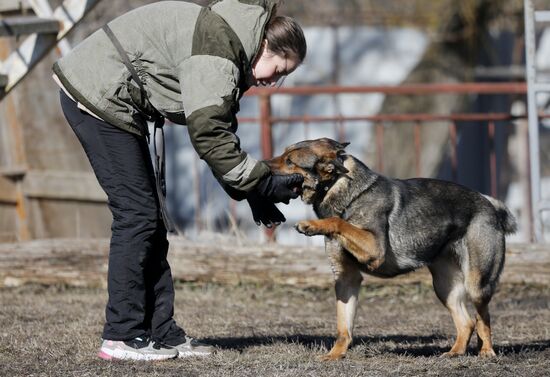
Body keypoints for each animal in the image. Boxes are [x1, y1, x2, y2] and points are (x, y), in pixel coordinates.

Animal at [268, 137, 516, 358]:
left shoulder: (374, 248)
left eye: (289, 161)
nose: (263, 165)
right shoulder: (346, 278)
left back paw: (487, 352)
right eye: (284, 154)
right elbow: (343, 326)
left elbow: (339, 222)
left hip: (476, 283)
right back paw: (455, 352)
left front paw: (311, 225)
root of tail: (489, 203)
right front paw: (335, 355)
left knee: (483, 318)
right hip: (446, 287)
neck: (339, 186)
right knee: (467, 322)